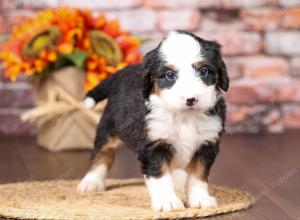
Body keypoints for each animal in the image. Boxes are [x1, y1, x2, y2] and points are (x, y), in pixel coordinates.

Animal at [77, 30, 230, 211]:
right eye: (170, 75)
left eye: (204, 71)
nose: (191, 99)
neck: (184, 117)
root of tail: (121, 72)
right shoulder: (154, 145)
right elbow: (161, 175)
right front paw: (167, 201)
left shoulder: (207, 143)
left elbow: (198, 174)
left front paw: (200, 198)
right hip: (108, 127)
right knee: (102, 153)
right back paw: (91, 182)